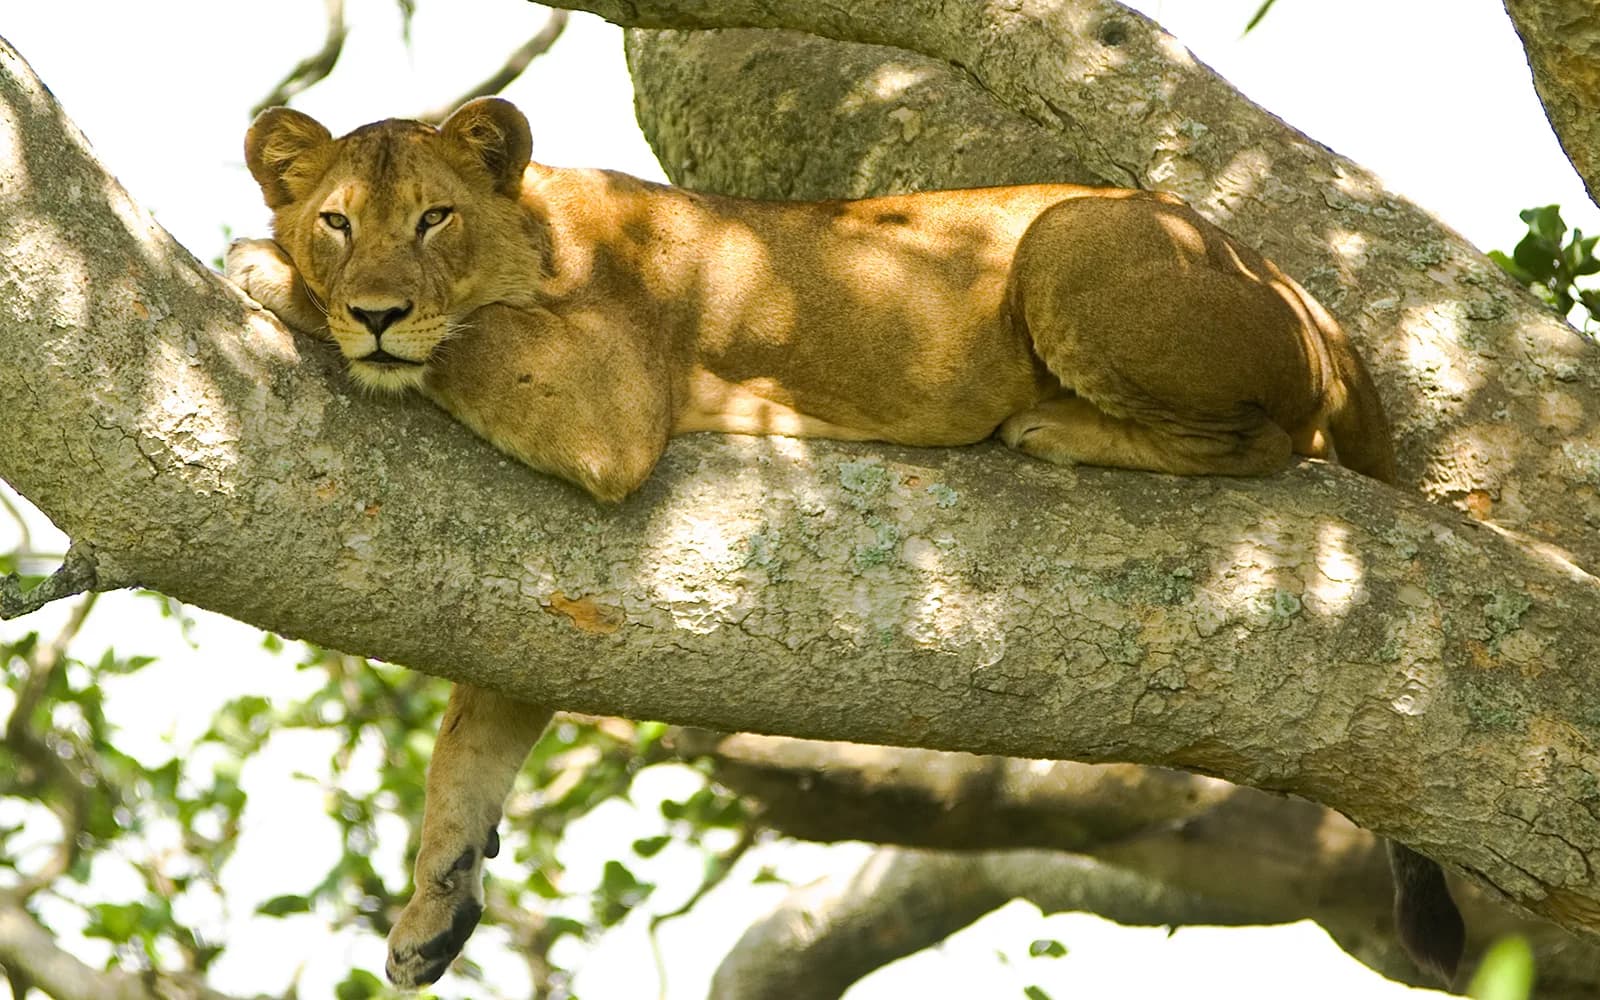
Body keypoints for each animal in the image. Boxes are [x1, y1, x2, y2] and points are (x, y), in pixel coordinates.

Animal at [228, 97, 1462, 987]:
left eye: (433, 220)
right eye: (338, 220)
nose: (374, 311)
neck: (540, 232)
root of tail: (1317, 301)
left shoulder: (607, 407)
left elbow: (463, 340)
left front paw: (263, 271)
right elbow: (476, 732)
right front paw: (436, 902)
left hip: (1074, 238)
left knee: (1265, 442)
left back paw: (1055, 425)